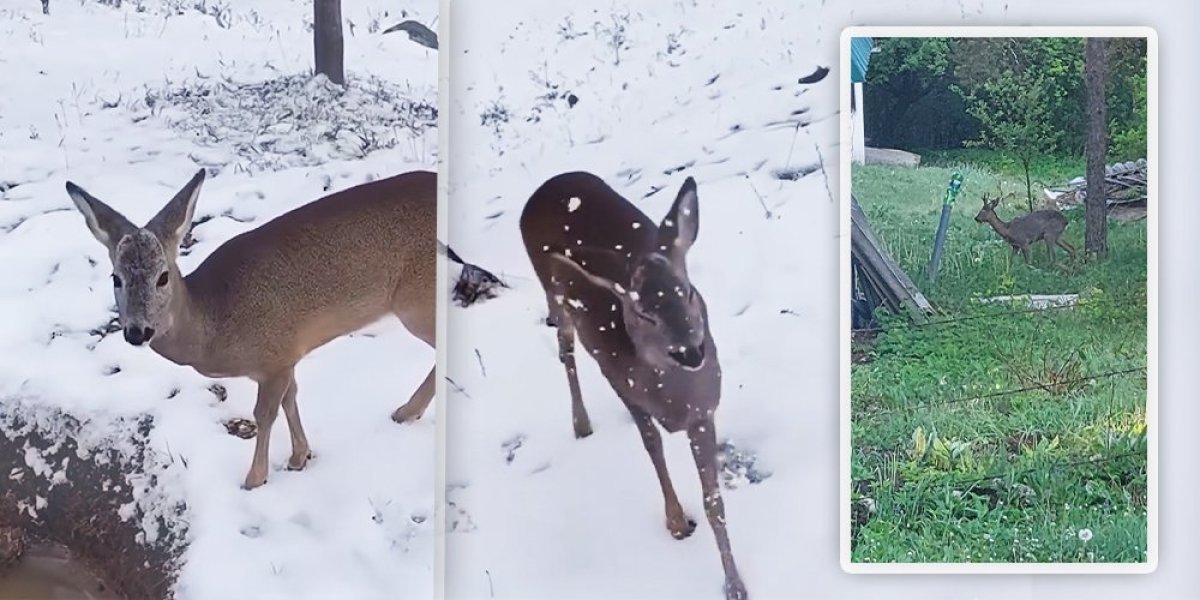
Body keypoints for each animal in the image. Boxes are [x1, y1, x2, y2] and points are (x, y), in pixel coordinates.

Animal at [64, 171, 496, 489]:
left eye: (163, 277)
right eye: (116, 278)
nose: (137, 331)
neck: (215, 322)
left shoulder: (274, 356)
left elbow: (265, 412)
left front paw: (254, 480)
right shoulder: (287, 356)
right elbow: (291, 398)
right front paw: (299, 456)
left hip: (414, 300)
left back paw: (406, 412)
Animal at [520, 171, 744, 600]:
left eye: (689, 292)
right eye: (644, 313)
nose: (690, 352)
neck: (672, 399)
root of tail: (550, 183)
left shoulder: (704, 410)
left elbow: (714, 503)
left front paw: (736, 585)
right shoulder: (620, 382)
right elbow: (652, 447)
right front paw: (676, 523)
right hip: (554, 295)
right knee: (565, 347)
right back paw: (581, 424)